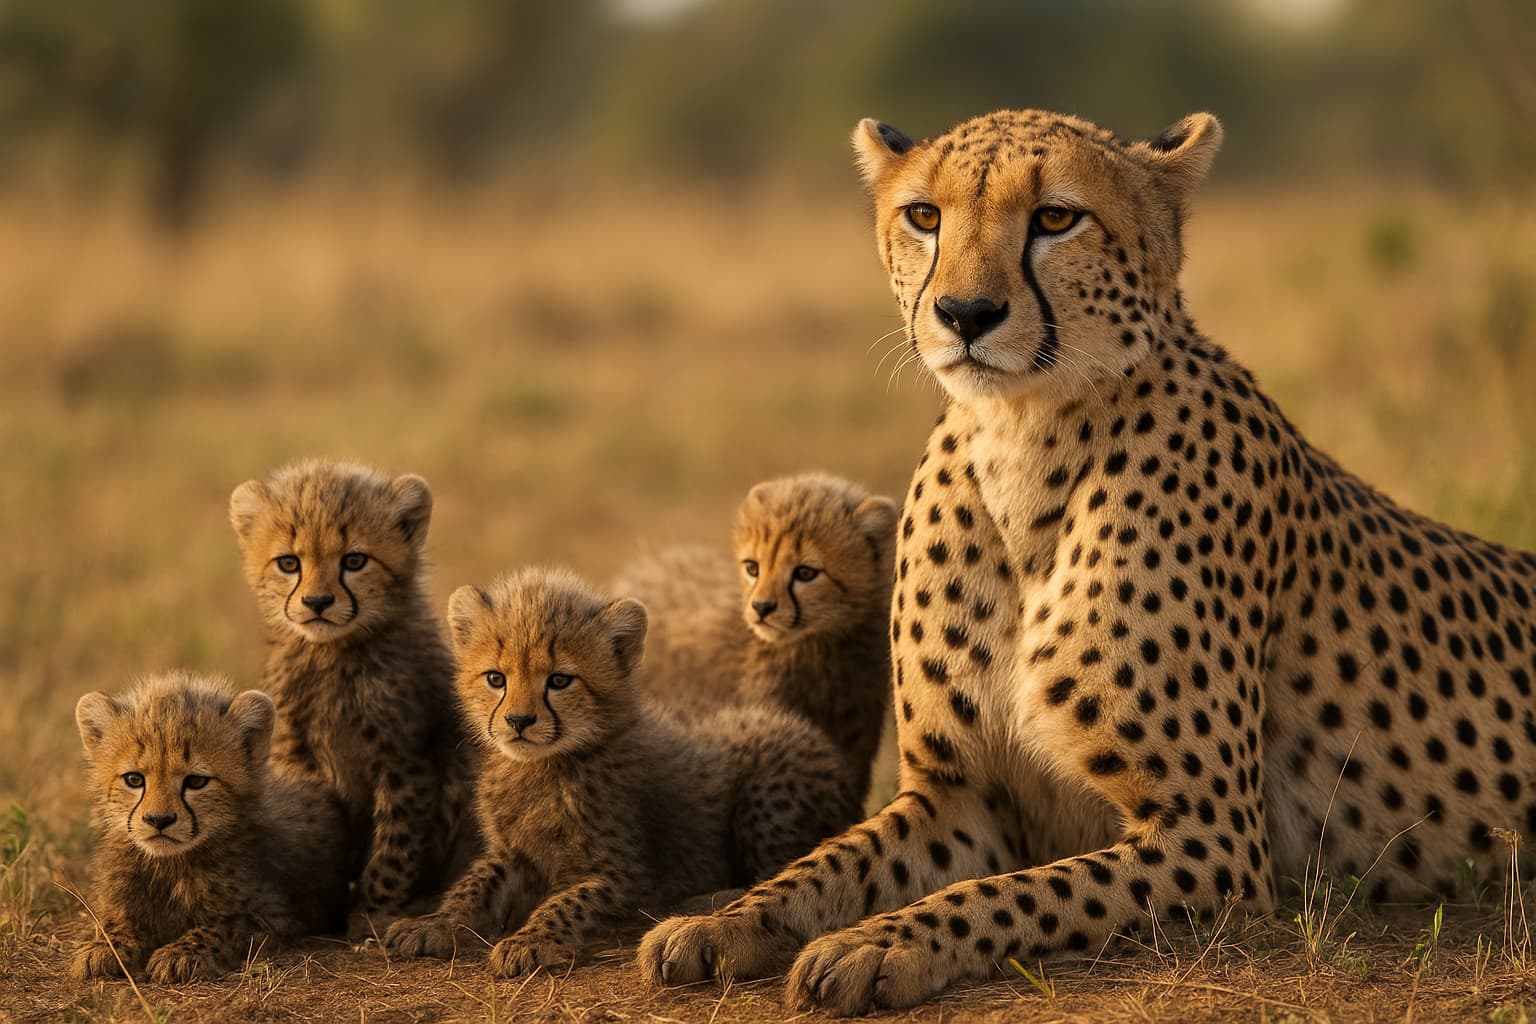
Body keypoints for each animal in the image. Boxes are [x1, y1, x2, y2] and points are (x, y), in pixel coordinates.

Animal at [71, 670, 349, 984]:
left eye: (195, 781)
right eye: (134, 779)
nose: (158, 820)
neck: (168, 865)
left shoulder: (275, 913)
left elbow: (225, 925)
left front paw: (182, 953)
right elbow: (115, 919)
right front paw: (105, 945)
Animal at [229, 458, 474, 932]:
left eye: (355, 561)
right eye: (289, 563)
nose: (318, 602)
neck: (334, 654)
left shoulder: (405, 760)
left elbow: (396, 842)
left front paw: (375, 913)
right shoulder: (296, 755)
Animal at [382, 567, 862, 976]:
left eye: (559, 681)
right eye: (496, 678)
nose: (518, 721)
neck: (545, 768)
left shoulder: (626, 873)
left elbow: (567, 901)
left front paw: (528, 941)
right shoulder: (511, 854)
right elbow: (472, 884)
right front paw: (434, 923)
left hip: (767, 792)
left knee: (776, 869)